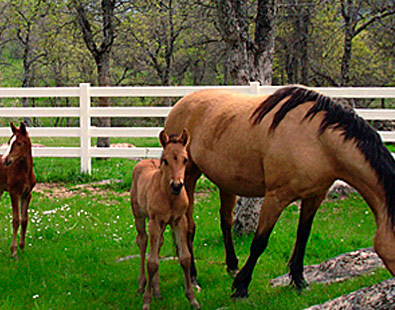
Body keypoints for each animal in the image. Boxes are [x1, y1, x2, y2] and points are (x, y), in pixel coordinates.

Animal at [0, 122, 36, 258]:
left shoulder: (27, 194)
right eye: (9, 142)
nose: (5, 160)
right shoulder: (14, 193)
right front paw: (14, 251)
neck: (25, 171)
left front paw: (22, 247)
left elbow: (24, 220)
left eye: (19, 143)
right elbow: (16, 220)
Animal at [164, 85, 395, 298]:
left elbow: (303, 235)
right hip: (188, 177)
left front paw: (299, 280)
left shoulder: (315, 196)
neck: (318, 141)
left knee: (225, 221)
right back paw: (193, 277)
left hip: (225, 181)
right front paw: (241, 287)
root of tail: (181, 103)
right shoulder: (276, 197)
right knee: (189, 227)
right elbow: (260, 241)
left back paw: (231, 265)